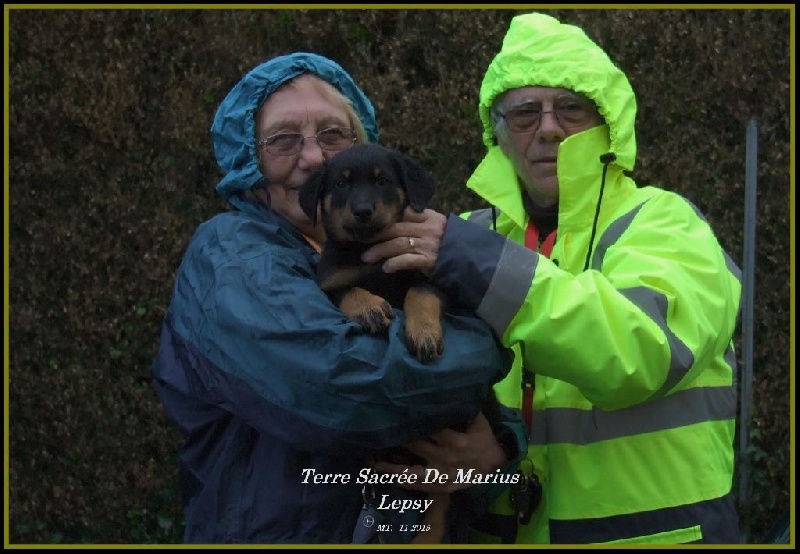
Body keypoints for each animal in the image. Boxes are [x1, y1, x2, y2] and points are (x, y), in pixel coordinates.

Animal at [300, 142, 446, 362]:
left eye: (382, 180)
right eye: (341, 184)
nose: (363, 211)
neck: (366, 245)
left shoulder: (429, 274)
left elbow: (420, 291)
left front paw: (424, 332)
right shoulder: (328, 285)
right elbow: (348, 290)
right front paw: (370, 308)